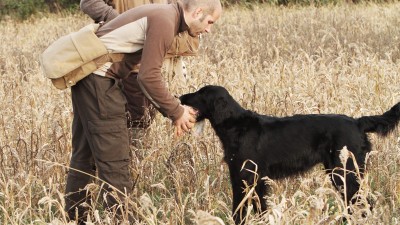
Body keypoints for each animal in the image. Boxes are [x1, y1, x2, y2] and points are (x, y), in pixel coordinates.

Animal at [181, 85, 400, 224]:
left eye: (201, 93)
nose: (180, 97)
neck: (236, 126)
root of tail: (357, 122)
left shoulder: (249, 177)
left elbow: (245, 210)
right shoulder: (246, 179)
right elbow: (250, 210)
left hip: (345, 172)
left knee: (364, 202)